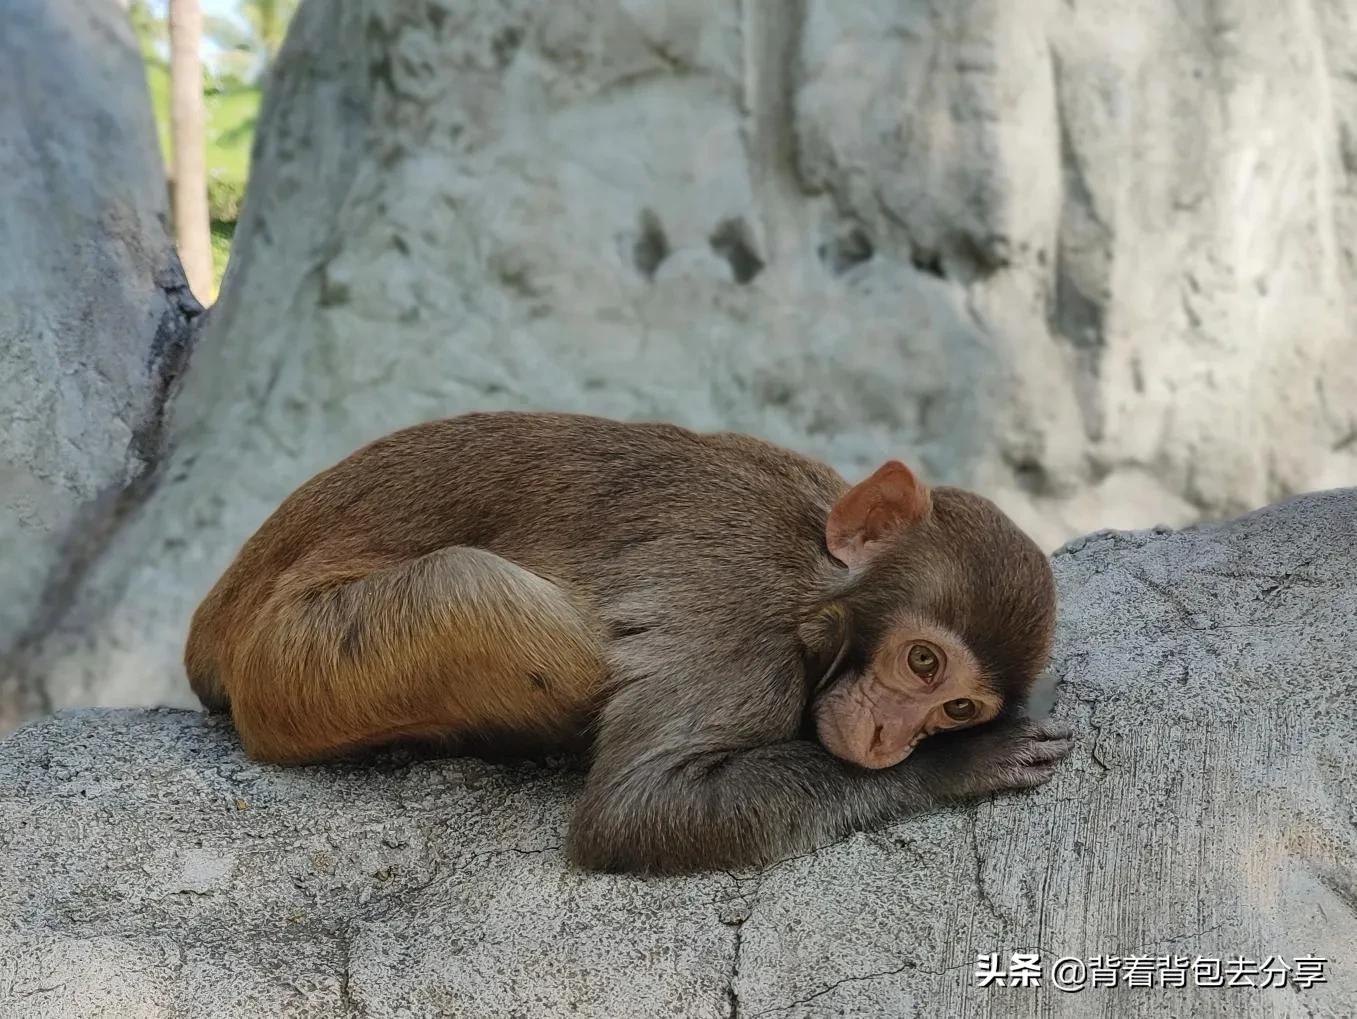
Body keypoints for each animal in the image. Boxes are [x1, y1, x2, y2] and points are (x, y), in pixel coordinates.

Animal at [185, 415, 1069, 879]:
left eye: (956, 705)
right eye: (921, 660)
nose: (893, 739)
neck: (814, 572)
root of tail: (213, 622)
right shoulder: (740, 622)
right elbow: (635, 811)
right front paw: (955, 767)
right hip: (295, 669)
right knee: (478, 590)